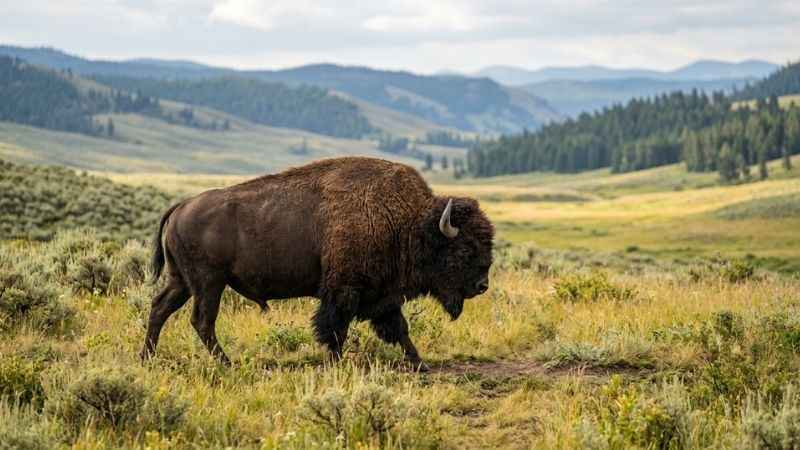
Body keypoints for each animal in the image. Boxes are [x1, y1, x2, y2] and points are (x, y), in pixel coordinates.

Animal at [141, 157, 494, 369]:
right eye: (465, 248)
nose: (482, 285)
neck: (408, 221)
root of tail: (182, 205)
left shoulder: (383, 295)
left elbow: (399, 329)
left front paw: (419, 363)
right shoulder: (344, 291)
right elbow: (335, 328)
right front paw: (337, 363)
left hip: (182, 281)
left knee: (160, 308)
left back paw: (147, 358)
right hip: (208, 283)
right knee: (202, 321)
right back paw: (226, 363)